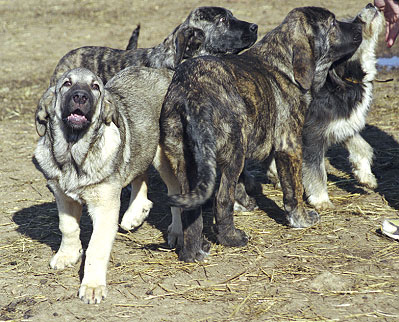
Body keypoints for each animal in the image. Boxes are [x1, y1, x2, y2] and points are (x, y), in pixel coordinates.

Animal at [34, 66, 172, 304]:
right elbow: (67, 227)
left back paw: (175, 231)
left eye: (95, 86)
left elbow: (96, 247)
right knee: (140, 174)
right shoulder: (63, 196)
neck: (74, 155)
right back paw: (135, 212)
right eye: (67, 84)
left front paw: (92, 286)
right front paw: (67, 254)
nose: (81, 96)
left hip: (165, 157)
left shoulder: (105, 207)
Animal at [159, 6, 362, 262]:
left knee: (190, 209)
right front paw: (301, 218)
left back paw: (193, 252)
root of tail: (190, 93)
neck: (284, 63)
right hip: (234, 152)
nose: (359, 26)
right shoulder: (290, 146)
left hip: (184, 161)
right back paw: (231, 238)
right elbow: (294, 188)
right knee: (222, 199)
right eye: (333, 23)